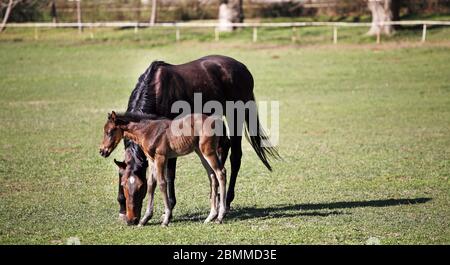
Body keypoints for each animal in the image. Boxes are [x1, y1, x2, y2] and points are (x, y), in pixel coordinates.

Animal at [116, 54, 278, 222]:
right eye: (123, 185)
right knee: (223, 147)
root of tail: (242, 67)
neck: (156, 90)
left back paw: (226, 201)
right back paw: (217, 196)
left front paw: (170, 208)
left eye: (141, 188)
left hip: (235, 114)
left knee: (235, 157)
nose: (131, 220)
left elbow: (170, 174)